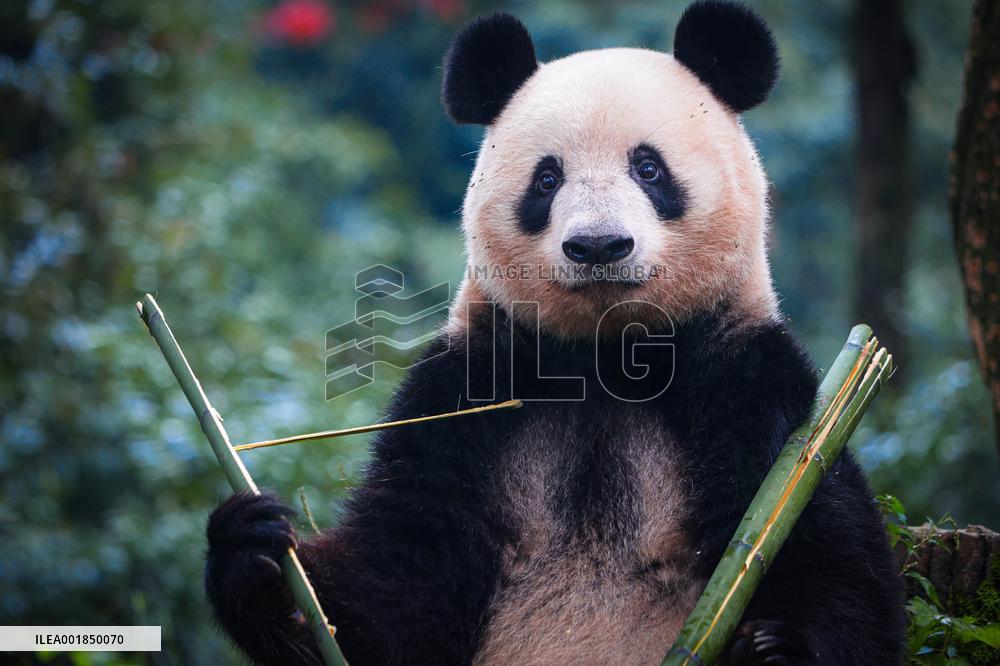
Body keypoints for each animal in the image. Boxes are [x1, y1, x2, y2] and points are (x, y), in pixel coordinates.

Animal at [204, 2, 905, 664]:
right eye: (547, 179)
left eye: (648, 169)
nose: (598, 245)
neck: (608, 357)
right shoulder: (464, 392)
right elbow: (399, 582)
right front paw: (256, 560)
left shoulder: (750, 381)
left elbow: (821, 547)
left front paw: (778, 647)